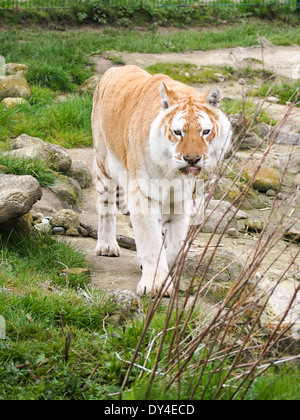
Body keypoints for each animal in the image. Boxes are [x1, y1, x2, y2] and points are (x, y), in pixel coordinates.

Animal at [91, 65, 232, 296]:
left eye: (205, 131)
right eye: (178, 132)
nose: (192, 159)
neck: (172, 173)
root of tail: (117, 67)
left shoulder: (180, 200)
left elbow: (174, 245)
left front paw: (166, 274)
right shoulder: (143, 195)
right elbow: (151, 241)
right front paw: (155, 284)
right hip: (104, 167)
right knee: (106, 207)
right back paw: (106, 245)